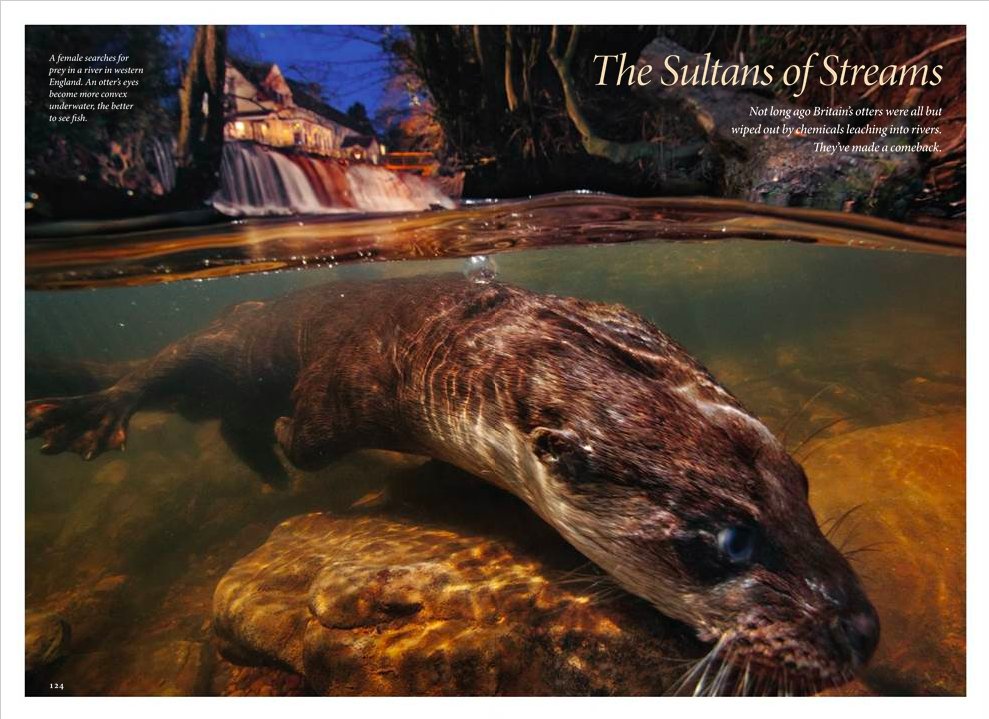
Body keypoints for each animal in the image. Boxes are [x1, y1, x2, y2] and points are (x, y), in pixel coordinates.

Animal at [26, 275, 879, 694]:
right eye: (728, 539)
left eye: (802, 484)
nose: (859, 628)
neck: (458, 345)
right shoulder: (347, 382)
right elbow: (306, 435)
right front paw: (290, 439)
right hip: (232, 340)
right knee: (160, 372)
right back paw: (95, 415)